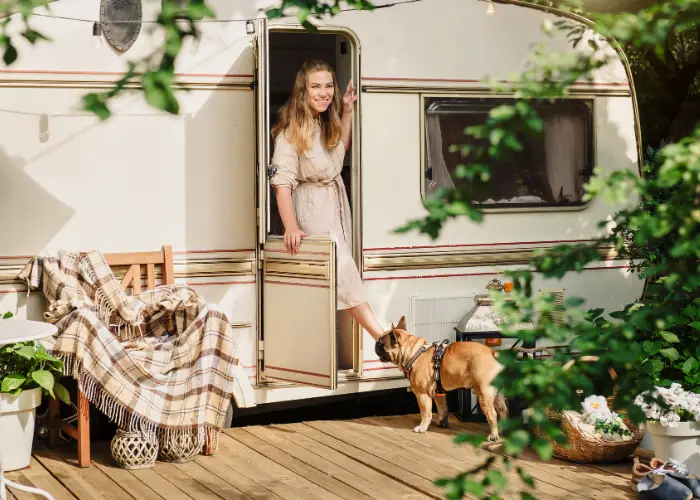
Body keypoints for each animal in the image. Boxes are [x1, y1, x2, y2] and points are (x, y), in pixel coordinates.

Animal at [374, 318, 506, 440]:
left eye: (381, 344)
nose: (375, 344)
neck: (414, 353)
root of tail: (492, 352)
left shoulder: (422, 394)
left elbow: (426, 413)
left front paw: (422, 427)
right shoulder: (439, 393)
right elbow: (442, 408)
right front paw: (442, 423)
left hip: (484, 393)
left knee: (492, 414)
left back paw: (493, 436)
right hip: (496, 394)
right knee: (503, 410)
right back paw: (503, 430)